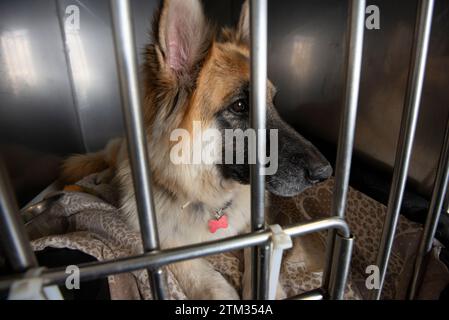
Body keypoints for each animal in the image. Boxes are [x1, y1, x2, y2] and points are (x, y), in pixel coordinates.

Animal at [61, 0, 330, 300]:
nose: (325, 171)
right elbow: (198, 273)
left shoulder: (255, 222)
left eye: (273, 101)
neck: (207, 197)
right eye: (240, 106)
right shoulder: (162, 245)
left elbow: (260, 251)